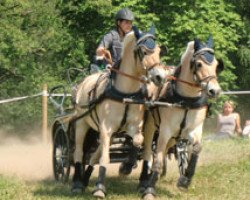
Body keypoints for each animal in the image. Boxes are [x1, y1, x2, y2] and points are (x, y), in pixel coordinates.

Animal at [70, 25, 168, 198]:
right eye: (143, 51)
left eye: (158, 51)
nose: (160, 77)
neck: (125, 93)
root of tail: (83, 82)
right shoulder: (106, 128)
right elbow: (105, 158)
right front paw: (100, 187)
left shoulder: (133, 127)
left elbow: (138, 141)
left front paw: (126, 166)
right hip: (82, 124)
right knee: (79, 152)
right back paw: (77, 183)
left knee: (94, 156)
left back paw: (85, 178)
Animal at [140, 36, 224, 200]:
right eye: (199, 64)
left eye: (217, 65)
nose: (215, 91)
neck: (186, 100)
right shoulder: (165, 131)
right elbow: (158, 159)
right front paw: (150, 189)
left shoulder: (194, 130)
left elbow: (197, 149)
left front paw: (185, 180)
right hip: (151, 126)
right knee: (148, 150)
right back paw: (144, 180)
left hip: (173, 138)